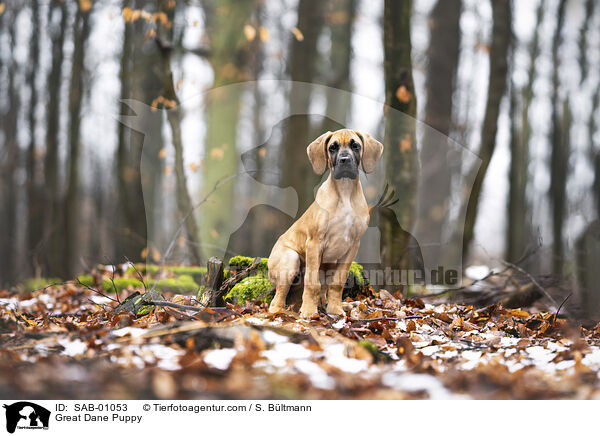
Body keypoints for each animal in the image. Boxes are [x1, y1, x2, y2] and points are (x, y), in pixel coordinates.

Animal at [268, 129, 382, 316]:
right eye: (332, 147)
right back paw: (284, 313)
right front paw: (308, 312)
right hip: (291, 260)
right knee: (277, 299)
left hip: (329, 264)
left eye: (355, 146)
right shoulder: (315, 243)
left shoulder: (352, 246)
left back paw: (337, 305)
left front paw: (335, 309)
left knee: (323, 291)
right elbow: (312, 283)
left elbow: (338, 283)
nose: (344, 160)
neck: (345, 192)